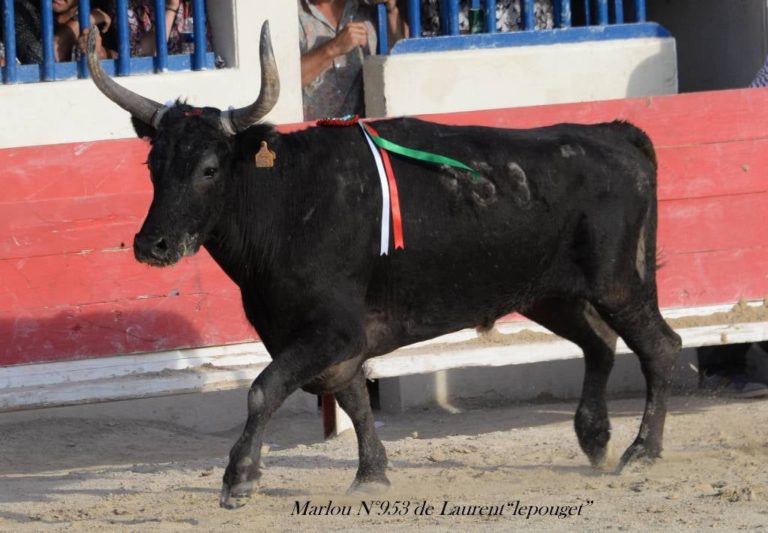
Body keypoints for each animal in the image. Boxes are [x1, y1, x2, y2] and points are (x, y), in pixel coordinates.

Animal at [82, 23, 680, 508]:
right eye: (153, 165)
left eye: (209, 168)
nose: (153, 244)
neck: (288, 200)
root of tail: (610, 131)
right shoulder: (315, 337)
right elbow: (350, 397)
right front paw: (371, 474)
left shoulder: (331, 330)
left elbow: (264, 389)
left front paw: (240, 478)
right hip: (548, 293)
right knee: (600, 342)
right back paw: (596, 439)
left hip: (617, 282)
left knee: (658, 346)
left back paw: (641, 451)